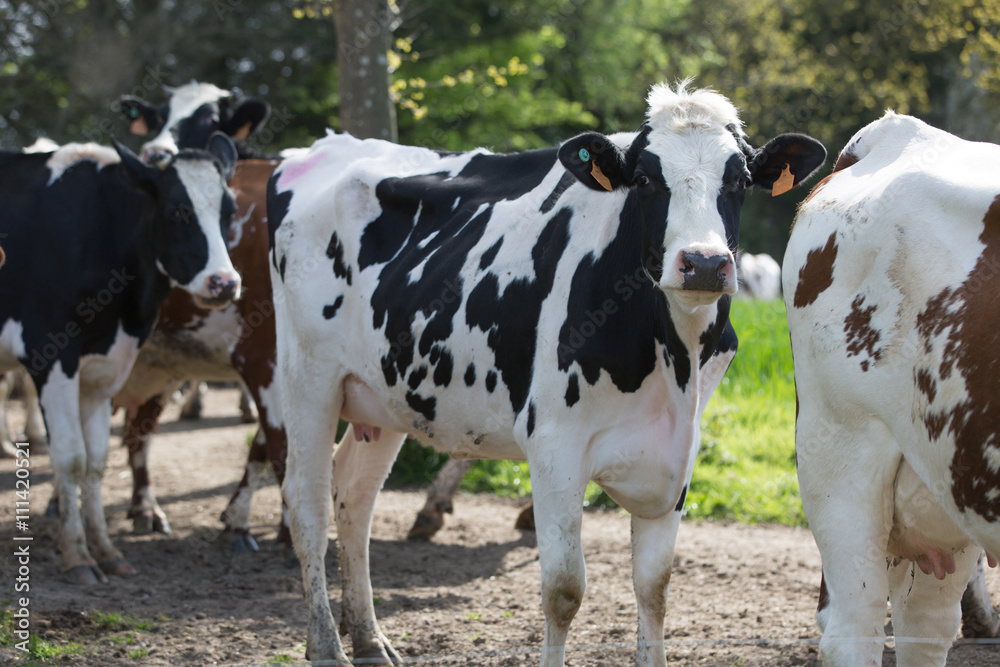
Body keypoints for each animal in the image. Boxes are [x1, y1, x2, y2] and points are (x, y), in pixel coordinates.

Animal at [0, 134, 240, 580]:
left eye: (229, 211)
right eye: (176, 209)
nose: (224, 283)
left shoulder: (104, 370)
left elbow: (95, 460)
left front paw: (106, 550)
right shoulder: (50, 355)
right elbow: (71, 457)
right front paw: (77, 555)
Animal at [270, 85, 824, 667]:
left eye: (739, 180)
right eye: (645, 180)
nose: (703, 262)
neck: (669, 361)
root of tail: (319, 149)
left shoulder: (679, 451)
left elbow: (655, 586)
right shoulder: (554, 445)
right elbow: (564, 590)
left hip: (381, 394)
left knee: (354, 499)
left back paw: (371, 642)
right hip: (308, 379)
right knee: (306, 506)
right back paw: (327, 647)